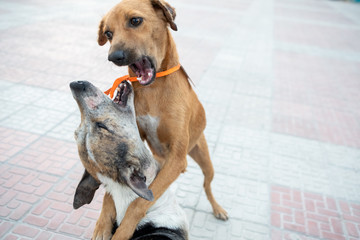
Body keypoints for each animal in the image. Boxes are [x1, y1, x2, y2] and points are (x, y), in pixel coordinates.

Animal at [76, 0, 228, 238]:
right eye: (108, 33)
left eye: (135, 21)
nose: (114, 57)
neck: (153, 90)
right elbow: (110, 192)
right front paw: (102, 225)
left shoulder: (177, 158)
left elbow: (138, 203)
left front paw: (124, 230)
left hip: (204, 160)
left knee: (207, 185)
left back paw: (218, 208)